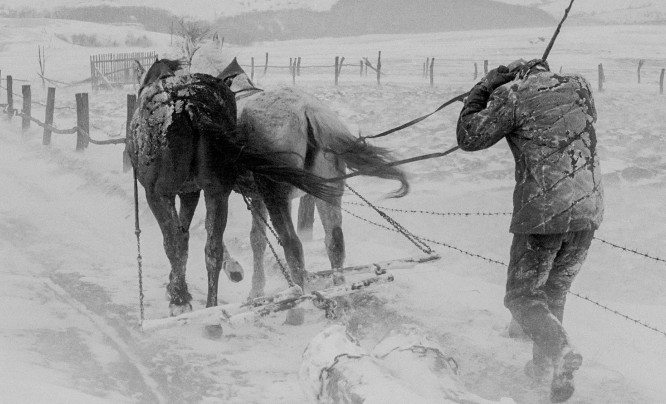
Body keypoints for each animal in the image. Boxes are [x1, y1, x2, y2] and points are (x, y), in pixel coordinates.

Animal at [126, 58, 338, 314]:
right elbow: (248, 240)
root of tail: (188, 103)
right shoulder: (199, 192)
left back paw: (183, 300)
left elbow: (179, 240)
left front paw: (178, 291)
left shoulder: (172, 193)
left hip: (164, 192)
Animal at [218, 58, 408, 298]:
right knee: (335, 241)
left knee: (293, 246)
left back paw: (298, 300)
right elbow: (257, 239)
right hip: (327, 191)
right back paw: (339, 289)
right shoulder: (257, 197)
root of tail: (307, 109)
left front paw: (233, 270)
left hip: (277, 196)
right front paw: (256, 290)